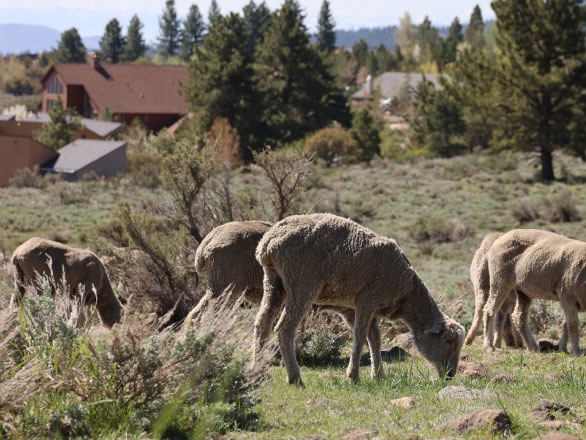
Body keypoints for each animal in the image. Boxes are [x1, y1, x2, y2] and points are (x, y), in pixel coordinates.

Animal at [253, 214, 464, 384]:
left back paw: (257, 370)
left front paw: (378, 375)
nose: (450, 375)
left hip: (273, 282)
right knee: (284, 328)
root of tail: (268, 243)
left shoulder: (359, 308)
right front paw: (354, 376)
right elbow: (360, 335)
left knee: (262, 323)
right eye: (449, 342)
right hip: (302, 284)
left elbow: (375, 338)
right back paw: (295, 378)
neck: (407, 295)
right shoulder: (367, 299)